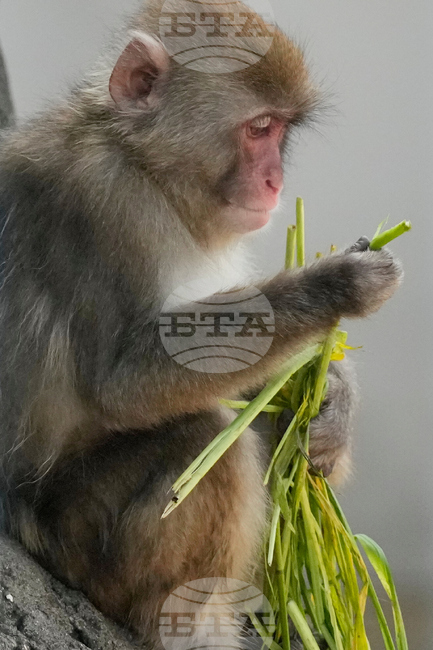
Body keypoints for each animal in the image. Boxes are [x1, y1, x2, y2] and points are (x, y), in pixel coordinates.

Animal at [0, 1, 402, 648]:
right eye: (258, 128)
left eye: (281, 131)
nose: (275, 182)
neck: (147, 168)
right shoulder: (107, 205)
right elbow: (125, 385)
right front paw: (335, 285)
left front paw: (330, 399)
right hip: (78, 539)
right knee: (207, 438)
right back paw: (186, 625)